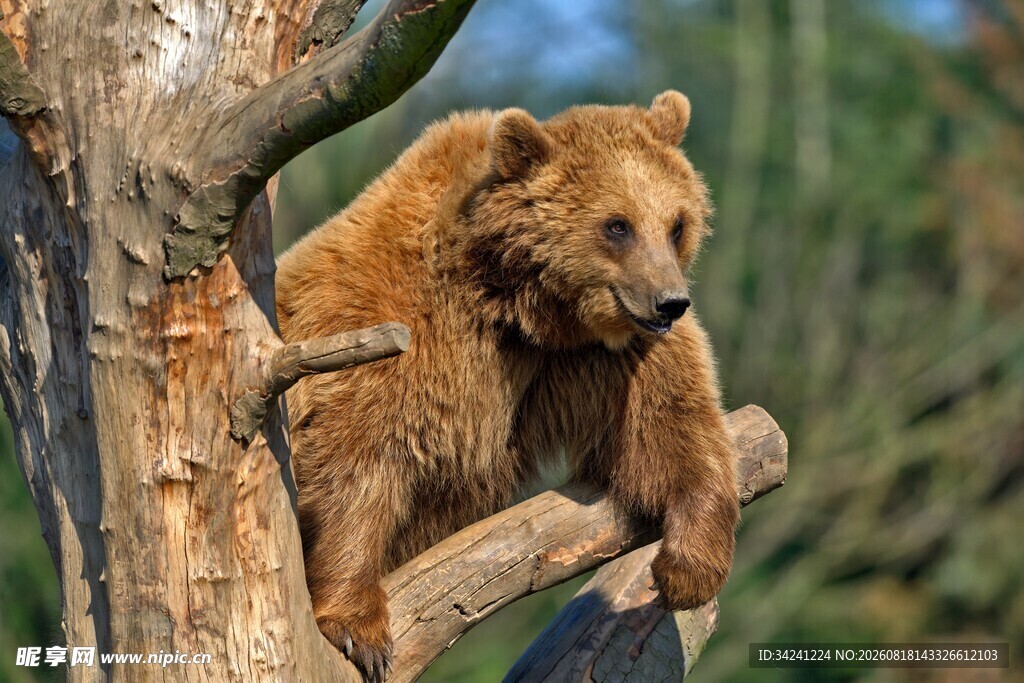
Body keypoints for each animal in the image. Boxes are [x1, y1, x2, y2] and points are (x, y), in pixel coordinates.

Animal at [275, 91, 739, 681]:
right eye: (618, 225)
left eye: (677, 224)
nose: (670, 302)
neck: (516, 302)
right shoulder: (383, 324)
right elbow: (356, 454)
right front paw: (360, 627)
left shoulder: (599, 356)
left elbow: (669, 428)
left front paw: (687, 568)